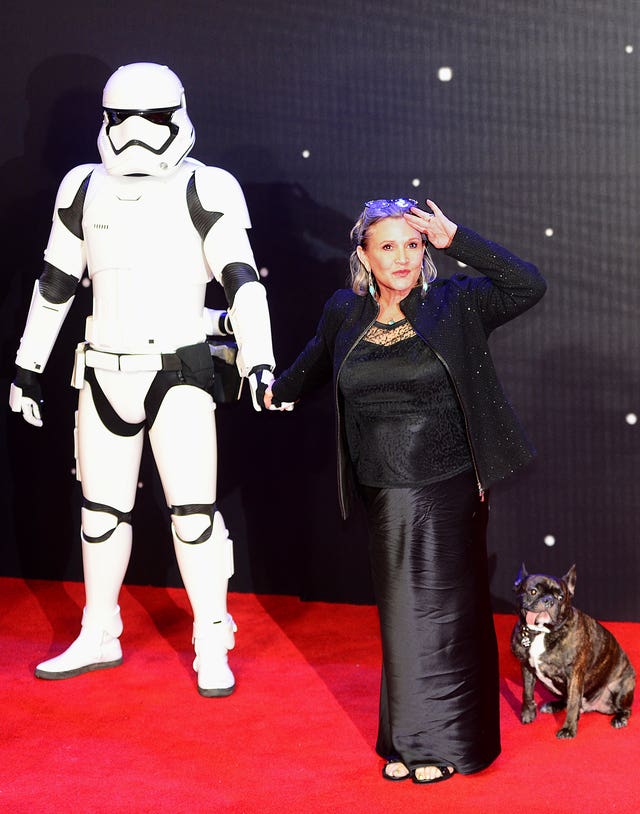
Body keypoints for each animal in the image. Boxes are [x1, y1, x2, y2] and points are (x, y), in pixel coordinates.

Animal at [510, 568, 636, 740]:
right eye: (533, 591)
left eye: (561, 597)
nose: (549, 600)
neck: (541, 633)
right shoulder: (526, 668)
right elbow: (527, 692)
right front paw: (528, 714)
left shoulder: (575, 675)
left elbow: (573, 703)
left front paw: (568, 729)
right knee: (565, 699)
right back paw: (554, 705)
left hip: (620, 690)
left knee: (624, 708)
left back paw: (620, 719)